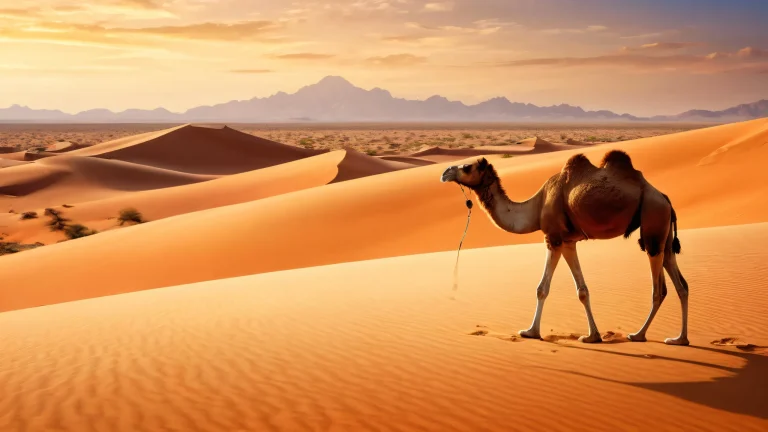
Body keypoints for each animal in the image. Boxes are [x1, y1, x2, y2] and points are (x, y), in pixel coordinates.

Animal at [440, 150, 689, 345]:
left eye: (467, 166)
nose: (445, 172)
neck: (536, 206)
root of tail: (665, 198)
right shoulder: (569, 242)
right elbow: (582, 290)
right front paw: (593, 336)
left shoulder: (554, 239)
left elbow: (542, 288)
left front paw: (530, 332)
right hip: (663, 233)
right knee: (680, 283)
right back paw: (679, 339)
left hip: (652, 221)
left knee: (659, 289)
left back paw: (638, 335)